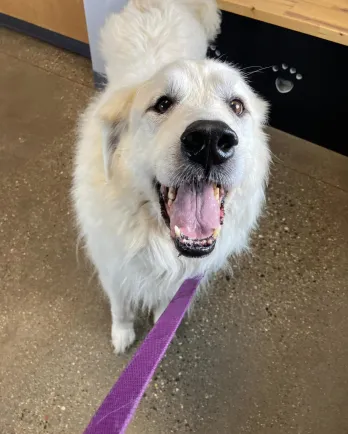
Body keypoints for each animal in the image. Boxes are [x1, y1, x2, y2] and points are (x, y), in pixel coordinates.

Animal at [72, 0, 270, 352]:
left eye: (236, 106)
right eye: (162, 104)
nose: (210, 140)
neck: (155, 240)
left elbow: (165, 307)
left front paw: (159, 330)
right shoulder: (112, 266)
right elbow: (120, 305)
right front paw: (122, 334)